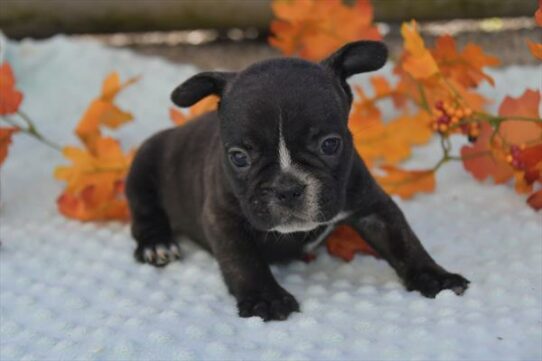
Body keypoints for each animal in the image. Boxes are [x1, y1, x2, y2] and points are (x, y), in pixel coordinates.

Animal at [125, 40, 470, 320]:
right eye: (239, 157)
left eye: (330, 144)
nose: (287, 188)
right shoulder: (222, 218)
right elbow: (243, 260)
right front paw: (266, 298)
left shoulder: (373, 207)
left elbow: (403, 241)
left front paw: (435, 276)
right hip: (143, 167)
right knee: (145, 213)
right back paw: (157, 244)